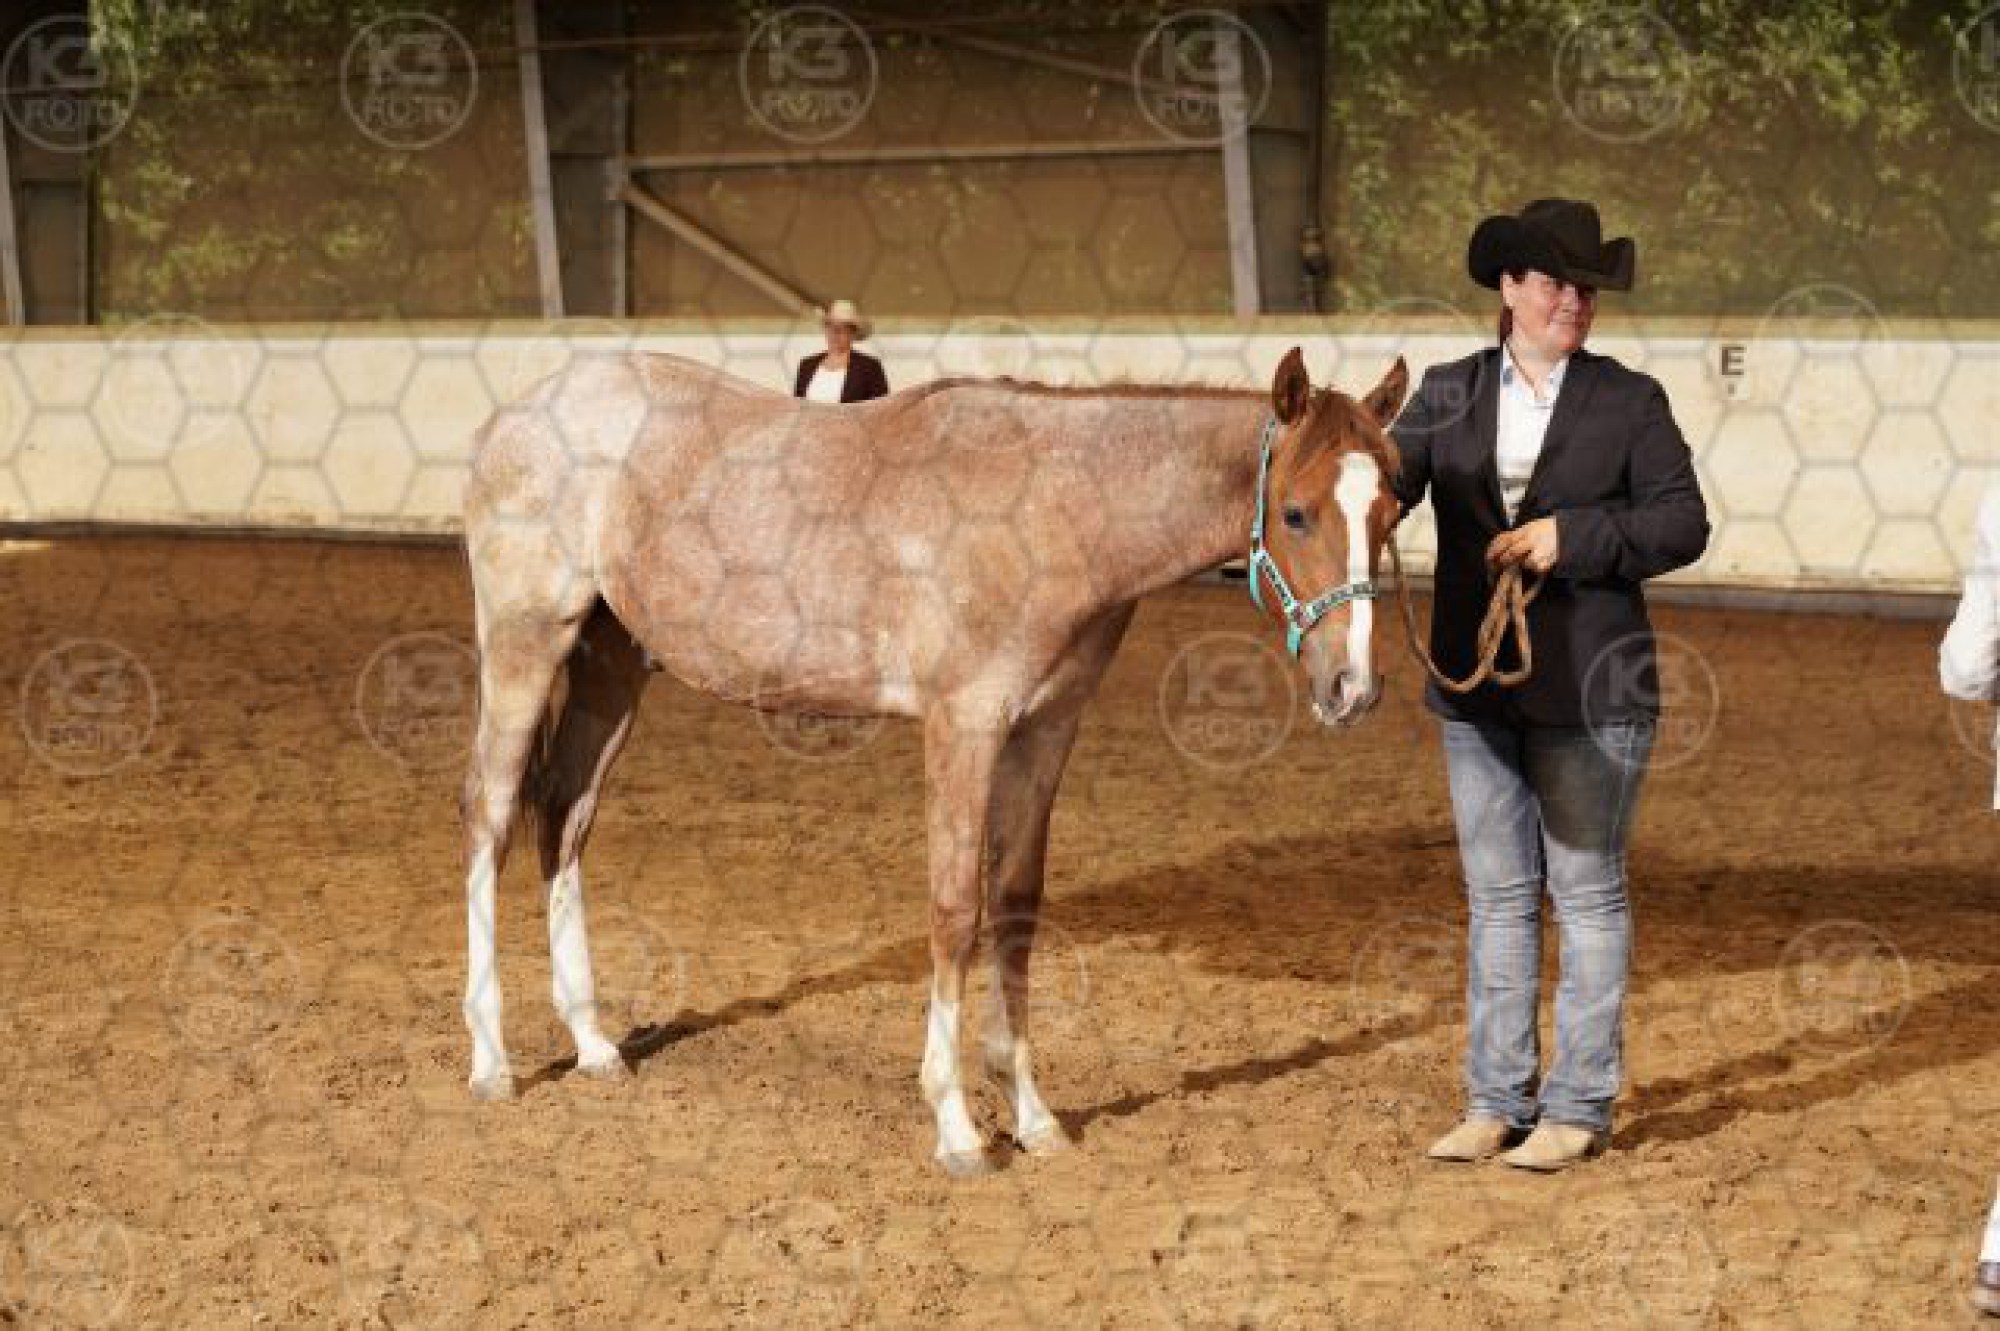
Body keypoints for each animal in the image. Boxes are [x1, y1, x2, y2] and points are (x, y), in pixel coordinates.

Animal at [457, 345, 1410, 1175]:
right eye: (1295, 512)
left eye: (1391, 510)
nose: (1353, 687)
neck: (1053, 509)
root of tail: (520, 411)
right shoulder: (964, 724)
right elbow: (955, 912)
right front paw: (955, 1125)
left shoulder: (1044, 731)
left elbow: (1016, 906)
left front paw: (1033, 1116)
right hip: (524, 643)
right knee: (491, 813)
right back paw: (492, 1060)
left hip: (611, 665)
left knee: (565, 817)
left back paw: (592, 1042)